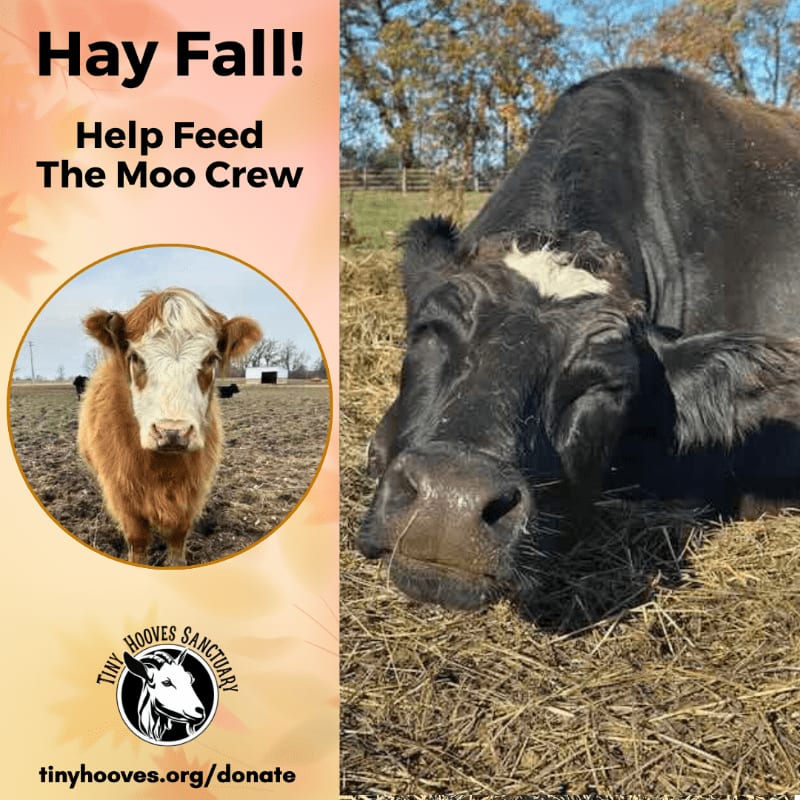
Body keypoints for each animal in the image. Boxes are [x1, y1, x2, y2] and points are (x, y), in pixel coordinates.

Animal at [78, 287, 261, 566]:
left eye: (211, 358)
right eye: (135, 357)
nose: (172, 432)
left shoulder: (191, 492)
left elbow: (177, 538)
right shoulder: (123, 495)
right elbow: (137, 540)